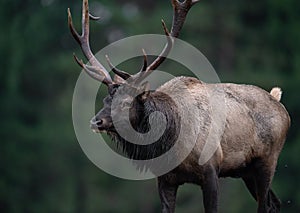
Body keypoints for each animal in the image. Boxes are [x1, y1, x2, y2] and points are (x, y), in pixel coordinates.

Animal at [68, 0, 290, 212]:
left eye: (125, 103)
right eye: (105, 100)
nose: (96, 121)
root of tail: (280, 104)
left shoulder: (211, 171)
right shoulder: (166, 179)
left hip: (267, 161)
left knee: (265, 204)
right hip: (246, 171)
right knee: (274, 203)